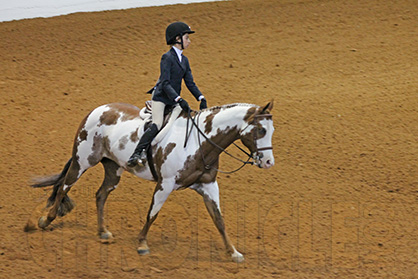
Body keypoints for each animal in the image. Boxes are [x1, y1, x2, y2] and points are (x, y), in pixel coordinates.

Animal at [31, 101, 276, 264]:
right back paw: (46, 220)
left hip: (113, 169)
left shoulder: (208, 186)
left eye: (272, 130)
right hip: (82, 161)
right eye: (261, 129)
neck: (199, 142)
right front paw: (142, 244)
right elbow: (153, 213)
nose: (268, 162)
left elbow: (219, 220)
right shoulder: (165, 184)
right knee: (64, 187)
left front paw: (233, 252)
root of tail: (98, 109)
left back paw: (103, 232)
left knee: (100, 194)